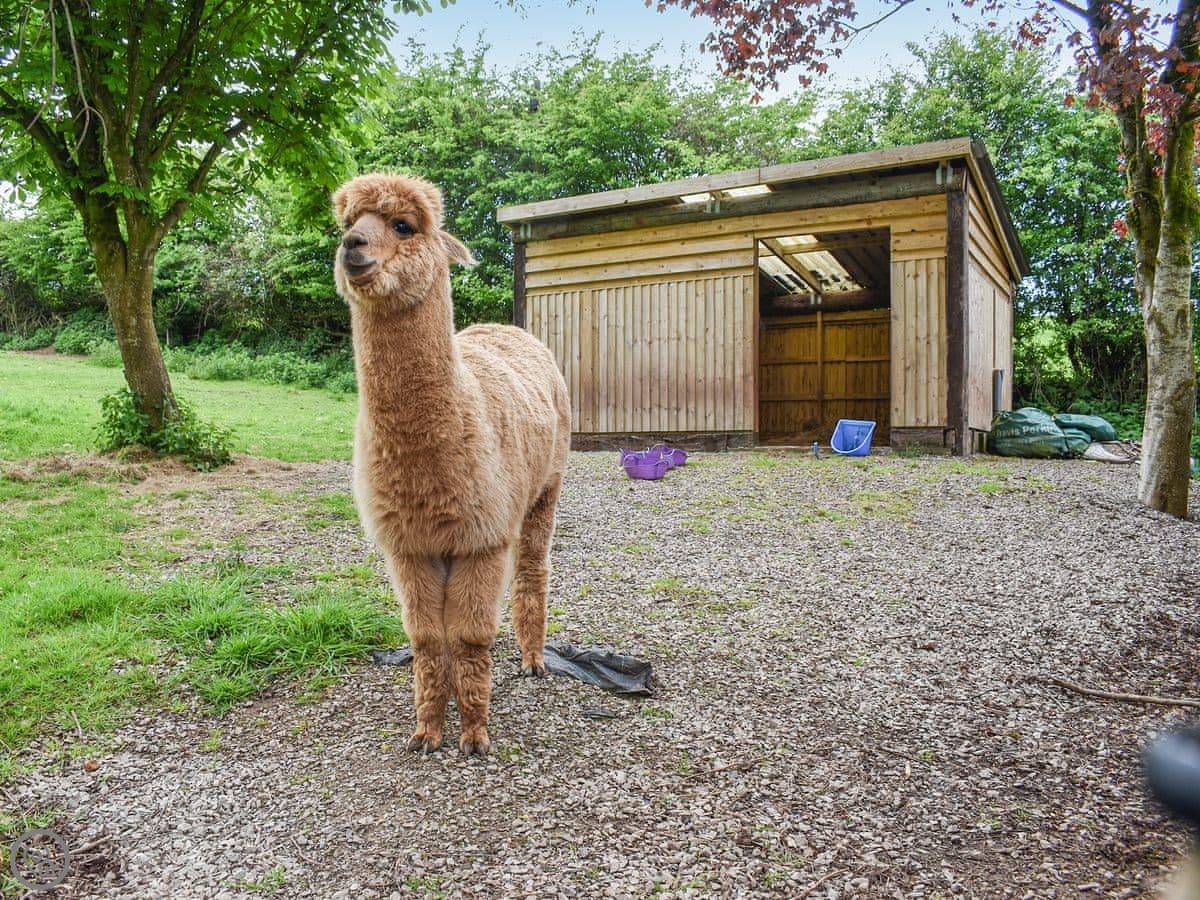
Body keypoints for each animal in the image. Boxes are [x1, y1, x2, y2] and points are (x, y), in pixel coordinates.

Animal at [332, 174, 570, 757]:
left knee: (533, 569)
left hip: (546, 485)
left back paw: (533, 660)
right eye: (348, 223)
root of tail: (502, 327)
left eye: (403, 225)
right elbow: (425, 638)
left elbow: (468, 635)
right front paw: (427, 732)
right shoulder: (410, 543)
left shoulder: (481, 536)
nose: (353, 246)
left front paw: (476, 733)